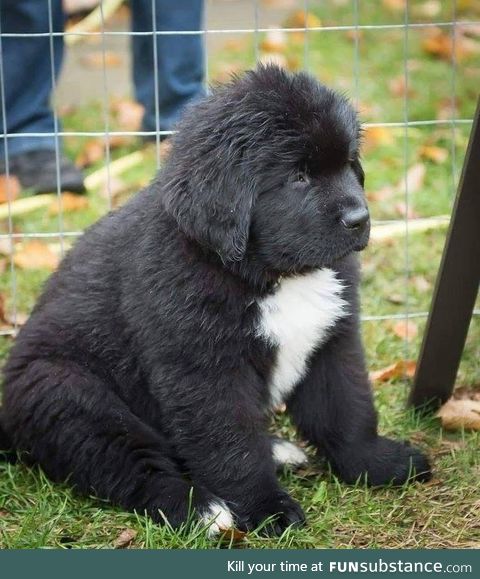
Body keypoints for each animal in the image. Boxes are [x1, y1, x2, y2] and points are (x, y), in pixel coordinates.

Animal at [0, 65, 430, 536]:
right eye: (298, 177)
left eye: (349, 163)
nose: (360, 219)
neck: (273, 275)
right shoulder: (205, 369)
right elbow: (231, 445)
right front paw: (267, 508)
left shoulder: (332, 340)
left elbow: (346, 410)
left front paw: (378, 464)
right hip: (70, 395)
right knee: (131, 465)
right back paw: (201, 509)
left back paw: (277, 450)